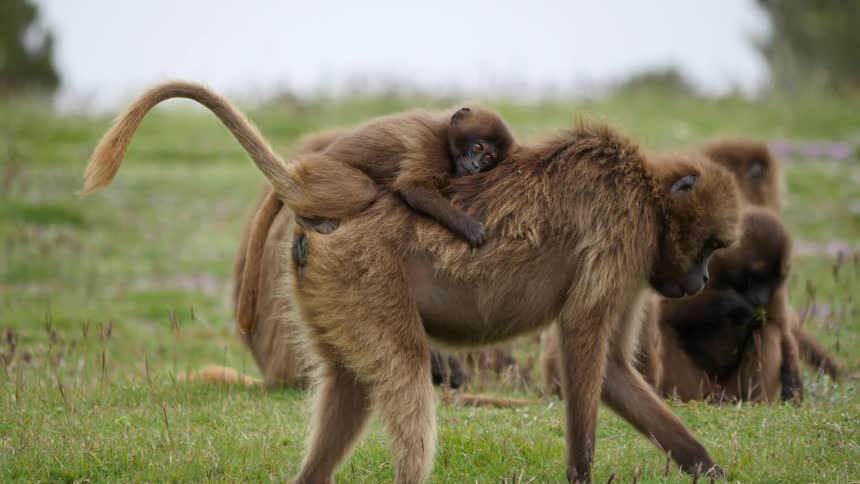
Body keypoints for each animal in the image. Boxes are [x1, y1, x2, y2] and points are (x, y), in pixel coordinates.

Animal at [81, 82, 742, 482]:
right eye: (712, 245)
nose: (698, 281)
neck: (645, 191)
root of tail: (327, 216)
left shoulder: (633, 266)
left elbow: (610, 372)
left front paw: (708, 467)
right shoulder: (618, 238)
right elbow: (579, 350)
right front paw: (580, 473)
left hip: (334, 298)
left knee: (351, 388)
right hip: (367, 281)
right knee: (404, 373)